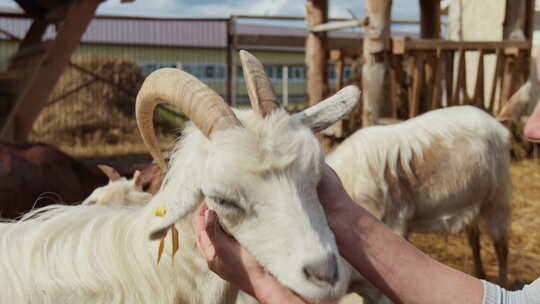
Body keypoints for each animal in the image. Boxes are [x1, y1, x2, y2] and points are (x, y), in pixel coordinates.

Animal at [326, 106, 512, 290]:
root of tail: (496, 123)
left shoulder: (395, 220)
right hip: (473, 201)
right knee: (474, 239)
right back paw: (480, 274)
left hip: (498, 196)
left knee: (501, 245)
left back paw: (503, 282)